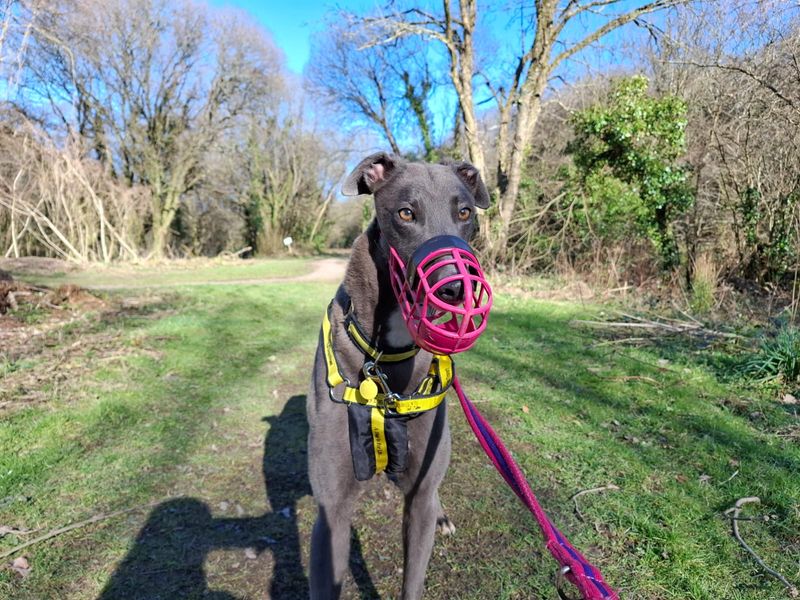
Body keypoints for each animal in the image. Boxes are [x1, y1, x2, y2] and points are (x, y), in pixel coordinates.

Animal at [306, 154, 490, 600]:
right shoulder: (332, 513)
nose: (457, 290)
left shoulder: (420, 498)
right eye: (406, 213)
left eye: (465, 213)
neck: (385, 363)